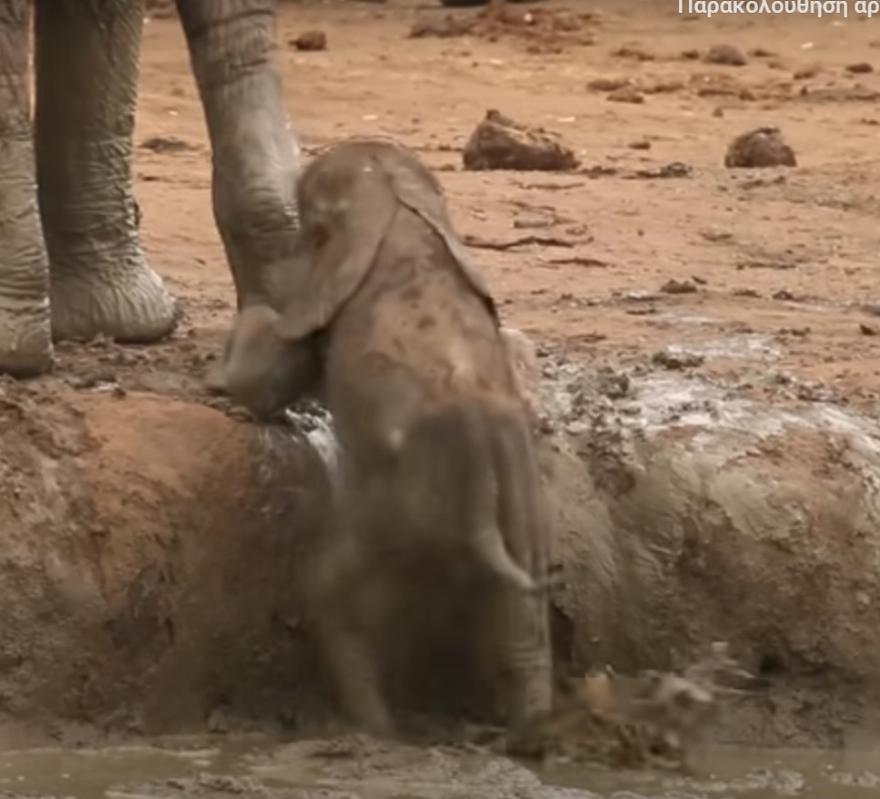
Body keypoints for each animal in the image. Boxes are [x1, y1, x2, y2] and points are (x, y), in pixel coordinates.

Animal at [223, 138, 554, 735]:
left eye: (306, 225)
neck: (395, 199)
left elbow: (271, 377)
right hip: (521, 509)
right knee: (522, 623)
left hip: (400, 512)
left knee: (329, 587)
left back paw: (371, 728)